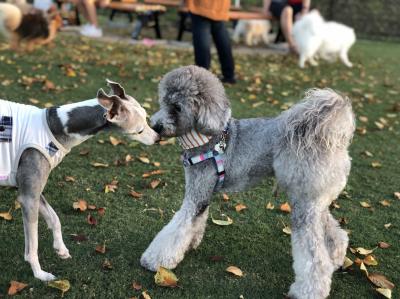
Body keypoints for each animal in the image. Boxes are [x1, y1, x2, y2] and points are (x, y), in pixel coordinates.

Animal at [0, 79, 159, 282]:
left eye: (147, 117)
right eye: (139, 130)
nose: (158, 138)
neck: (56, 124)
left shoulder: (31, 191)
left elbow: (54, 218)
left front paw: (60, 248)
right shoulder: (28, 197)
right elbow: (32, 246)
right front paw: (39, 274)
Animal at [142, 66, 354, 299]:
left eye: (177, 107)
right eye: (163, 101)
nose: (155, 126)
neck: (206, 138)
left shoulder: (196, 195)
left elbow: (178, 227)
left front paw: (155, 261)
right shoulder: (203, 193)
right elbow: (195, 222)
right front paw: (191, 244)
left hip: (303, 203)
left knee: (314, 255)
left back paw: (309, 290)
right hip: (315, 200)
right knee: (334, 231)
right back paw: (336, 257)